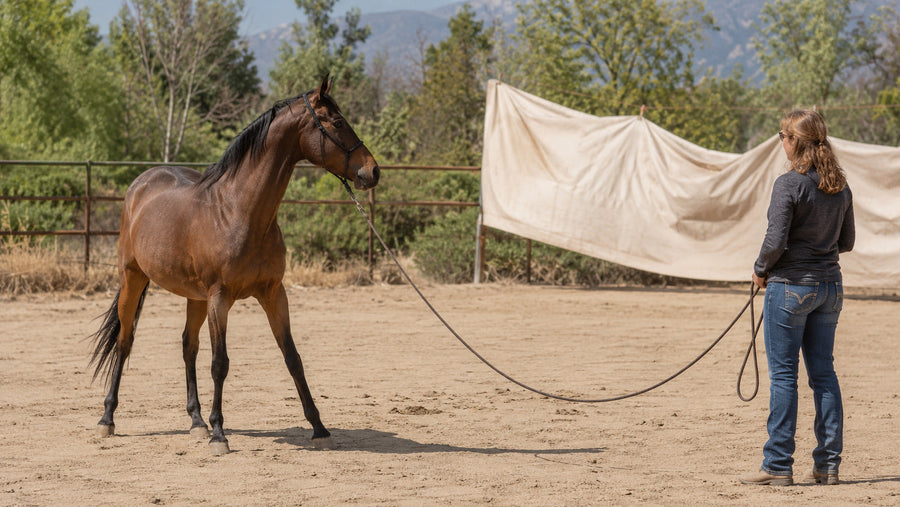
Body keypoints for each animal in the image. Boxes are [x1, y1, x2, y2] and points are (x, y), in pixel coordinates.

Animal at [89, 75, 379, 454]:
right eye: (337, 122)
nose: (373, 171)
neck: (239, 211)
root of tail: (140, 184)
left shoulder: (274, 293)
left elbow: (292, 357)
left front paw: (319, 427)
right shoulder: (220, 298)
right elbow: (220, 363)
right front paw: (219, 434)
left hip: (194, 296)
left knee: (188, 346)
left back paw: (196, 422)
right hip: (133, 279)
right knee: (125, 342)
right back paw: (108, 419)